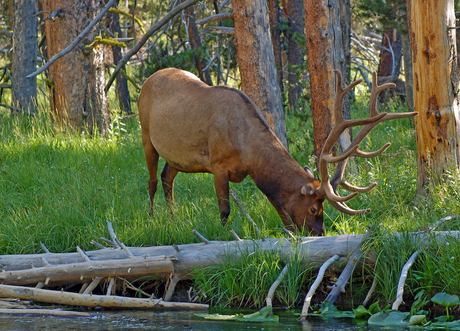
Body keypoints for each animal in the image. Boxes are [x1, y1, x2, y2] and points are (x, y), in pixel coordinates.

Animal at [137, 68, 416, 236]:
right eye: (314, 209)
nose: (321, 233)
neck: (248, 153)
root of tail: (148, 80)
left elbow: (279, 207)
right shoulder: (218, 165)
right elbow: (224, 210)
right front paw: (224, 234)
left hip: (176, 157)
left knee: (166, 177)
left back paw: (173, 219)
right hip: (146, 135)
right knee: (151, 181)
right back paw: (151, 218)